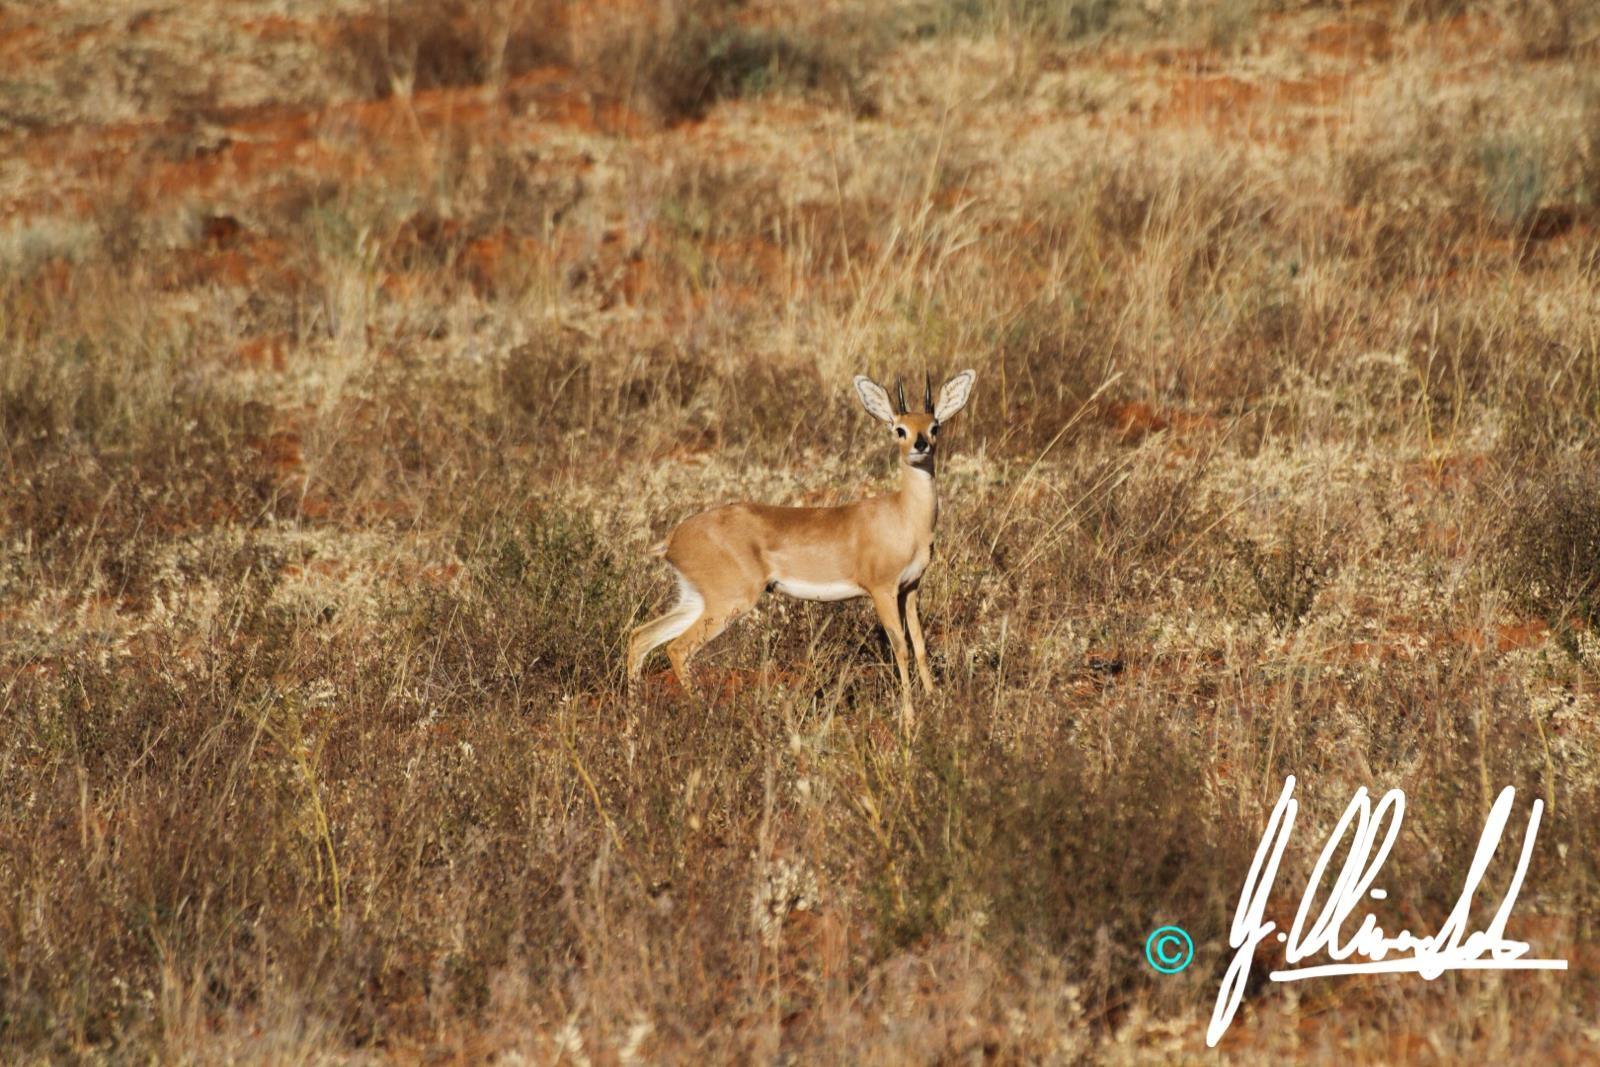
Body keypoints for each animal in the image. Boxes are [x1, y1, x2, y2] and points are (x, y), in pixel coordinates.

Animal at [624, 367, 972, 726]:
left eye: (934, 425)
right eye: (898, 428)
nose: (920, 445)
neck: (904, 516)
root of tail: (673, 538)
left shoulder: (910, 588)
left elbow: (919, 644)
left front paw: (936, 702)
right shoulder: (882, 590)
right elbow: (901, 647)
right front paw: (910, 719)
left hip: (696, 599)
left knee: (641, 637)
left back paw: (633, 728)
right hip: (728, 603)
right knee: (677, 648)